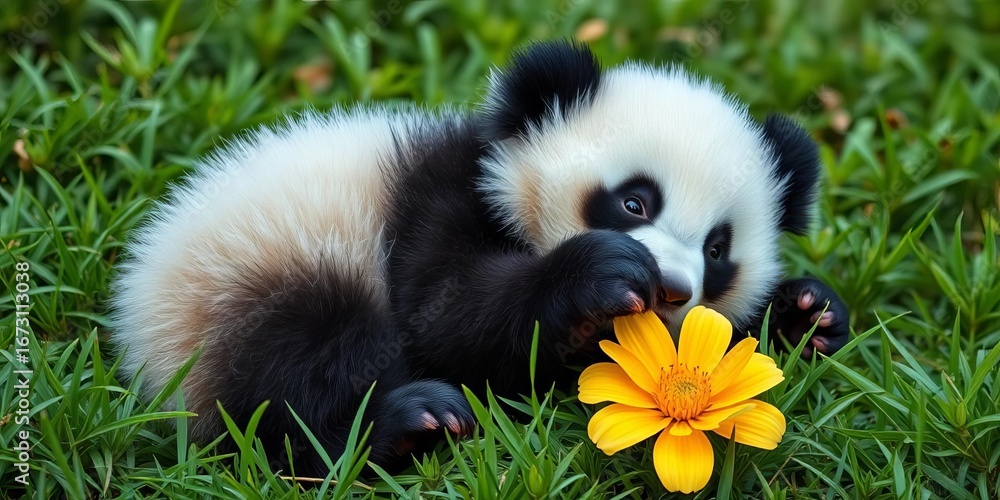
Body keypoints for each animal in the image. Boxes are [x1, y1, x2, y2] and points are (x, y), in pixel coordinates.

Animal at [110, 41, 849, 475]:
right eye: (635, 201)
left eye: (718, 248)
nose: (669, 287)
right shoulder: (439, 199)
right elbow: (444, 315)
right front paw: (596, 275)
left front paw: (807, 312)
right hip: (254, 273)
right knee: (294, 380)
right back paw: (406, 424)